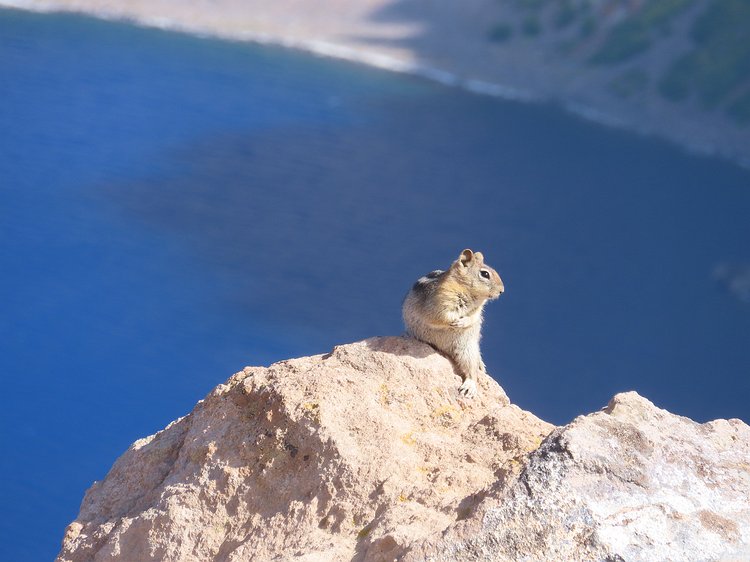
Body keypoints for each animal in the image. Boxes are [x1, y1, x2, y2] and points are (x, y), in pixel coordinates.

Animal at [406, 247, 506, 396]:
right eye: (485, 274)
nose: (502, 290)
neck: (471, 295)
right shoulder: (440, 301)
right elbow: (441, 317)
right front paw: (455, 322)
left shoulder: (478, 310)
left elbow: (474, 317)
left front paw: (464, 322)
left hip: (467, 348)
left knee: (471, 370)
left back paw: (471, 383)